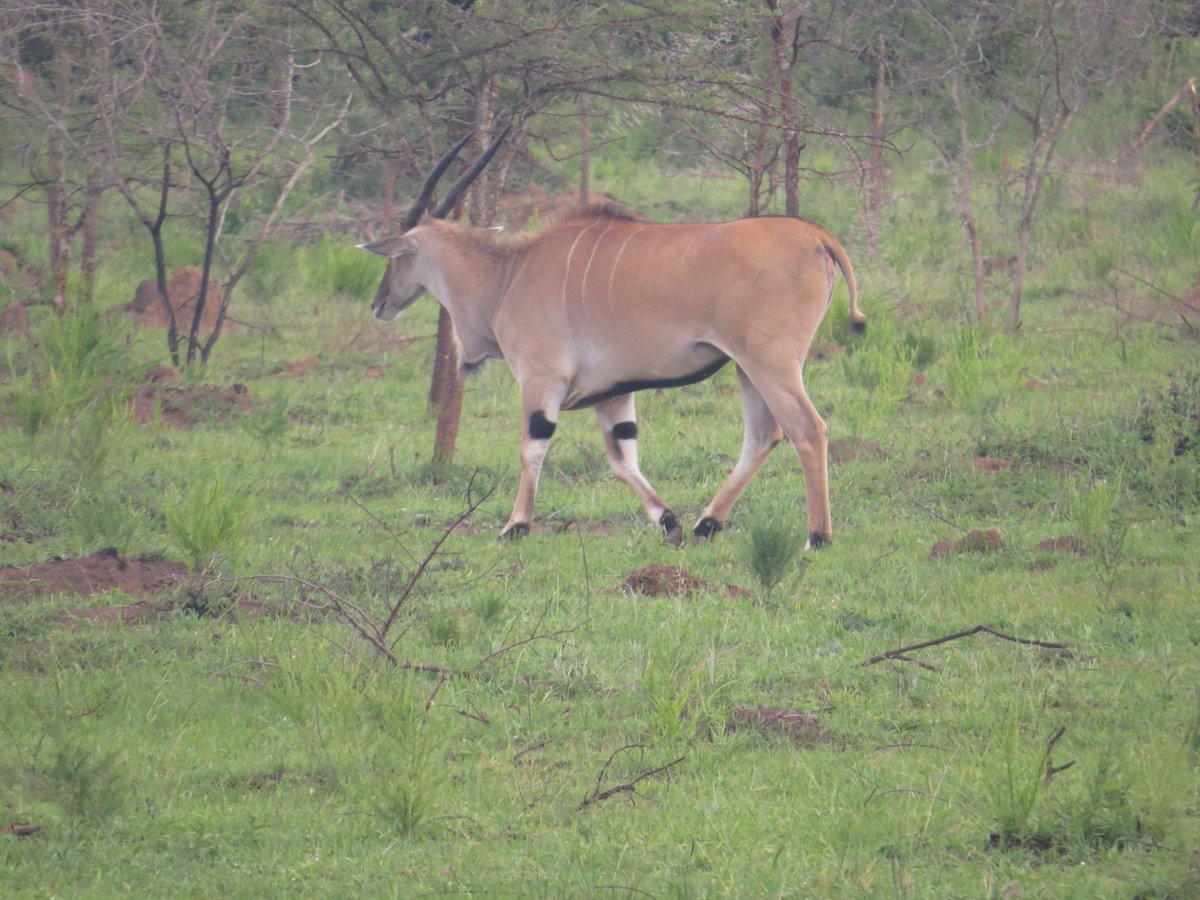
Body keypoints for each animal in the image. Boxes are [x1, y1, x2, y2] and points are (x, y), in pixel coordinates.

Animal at [361, 136, 865, 547]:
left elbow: (532, 446)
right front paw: (669, 522)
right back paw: (706, 524)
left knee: (807, 430)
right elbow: (623, 458)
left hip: (770, 364)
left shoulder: (542, 380)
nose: (379, 302)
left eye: (398, 258)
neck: (507, 274)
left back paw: (817, 536)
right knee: (763, 435)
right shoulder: (613, 394)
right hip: (746, 367)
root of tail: (816, 236)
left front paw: (515, 525)